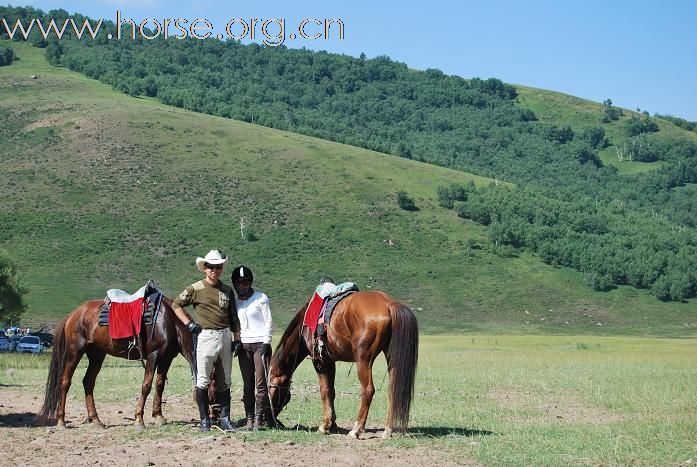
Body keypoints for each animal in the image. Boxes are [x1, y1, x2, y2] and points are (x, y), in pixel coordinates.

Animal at [39, 298, 194, 430]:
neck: (169, 322)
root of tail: (72, 315)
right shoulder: (153, 356)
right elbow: (146, 386)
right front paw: (139, 420)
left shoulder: (166, 358)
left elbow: (160, 385)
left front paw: (159, 416)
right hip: (74, 352)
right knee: (65, 381)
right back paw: (61, 421)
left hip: (97, 355)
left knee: (88, 382)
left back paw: (96, 420)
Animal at [266, 290, 418, 440]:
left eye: (270, 389)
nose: (270, 420)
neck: (304, 328)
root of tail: (389, 304)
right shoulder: (330, 361)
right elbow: (331, 391)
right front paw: (332, 424)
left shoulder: (319, 361)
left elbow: (324, 390)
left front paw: (324, 426)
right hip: (391, 358)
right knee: (393, 390)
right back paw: (387, 431)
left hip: (363, 360)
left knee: (368, 390)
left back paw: (356, 430)